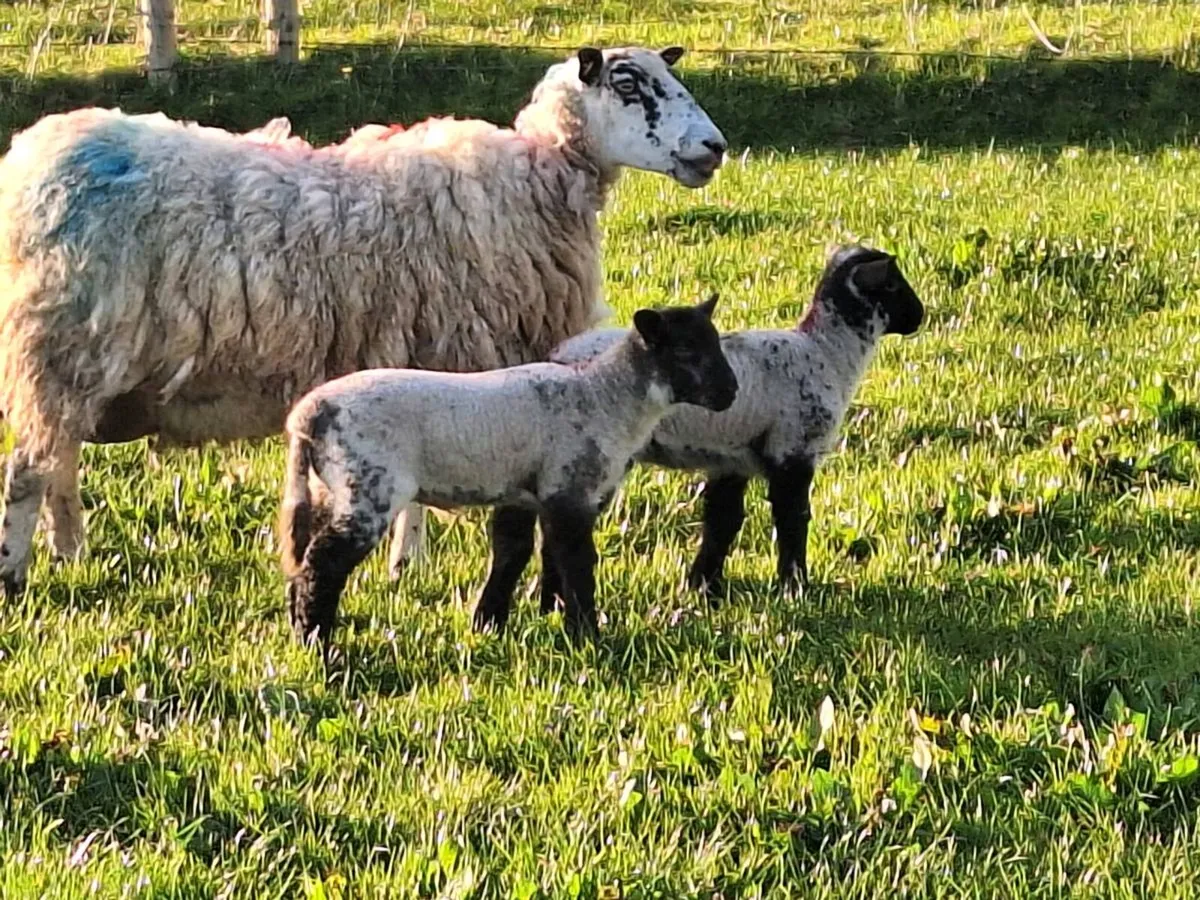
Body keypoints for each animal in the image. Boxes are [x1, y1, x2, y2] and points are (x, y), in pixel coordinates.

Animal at [0, 45, 728, 595]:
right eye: (629, 85)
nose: (715, 148)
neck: (543, 170)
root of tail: (31, 163)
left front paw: (405, 567)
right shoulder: (451, 357)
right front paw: (409, 565)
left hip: (69, 360)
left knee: (59, 459)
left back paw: (69, 552)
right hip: (64, 344)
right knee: (30, 469)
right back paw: (17, 575)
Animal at [278, 295, 738, 651]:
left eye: (715, 343)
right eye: (686, 353)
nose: (731, 392)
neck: (606, 396)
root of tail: (310, 415)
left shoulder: (529, 492)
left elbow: (522, 554)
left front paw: (504, 622)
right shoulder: (569, 490)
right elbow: (577, 563)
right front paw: (587, 633)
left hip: (327, 488)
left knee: (305, 560)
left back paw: (301, 631)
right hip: (370, 487)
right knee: (324, 563)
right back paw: (318, 642)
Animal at [525, 245, 923, 605]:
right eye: (893, 284)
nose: (920, 315)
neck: (827, 351)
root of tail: (557, 355)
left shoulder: (732, 458)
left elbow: (723, 521)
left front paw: (704, 588)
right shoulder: (793, 451)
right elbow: (793, 520)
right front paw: (796, 589)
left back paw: (549, 603)